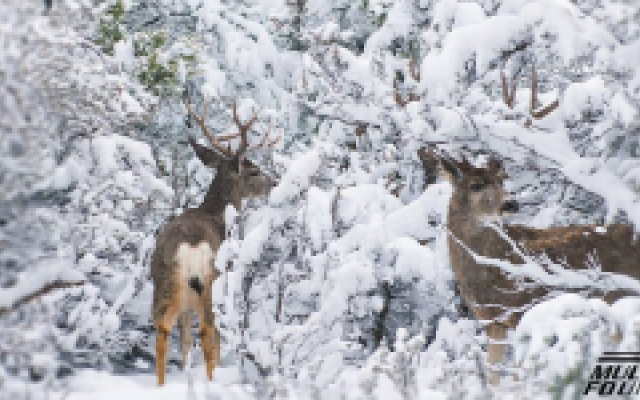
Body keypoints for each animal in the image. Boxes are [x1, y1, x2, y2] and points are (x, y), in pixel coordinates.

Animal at [151, 96, 278, 386]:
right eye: (253, 171)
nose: (276, 182)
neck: (216, 214)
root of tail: (189, 245)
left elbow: (185, 340)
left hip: (165, 281)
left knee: (164, 328)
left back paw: (162, 385)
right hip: (210, 282)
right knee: (208, 330)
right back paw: (213, 380)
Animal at [417, 148, 640, 384]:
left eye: (501, 181)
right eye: (475, 185)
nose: (511, 203)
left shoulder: (521, 311)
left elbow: (518, 375)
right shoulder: (492, 322)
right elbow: (492, 376)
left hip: (620, 295)